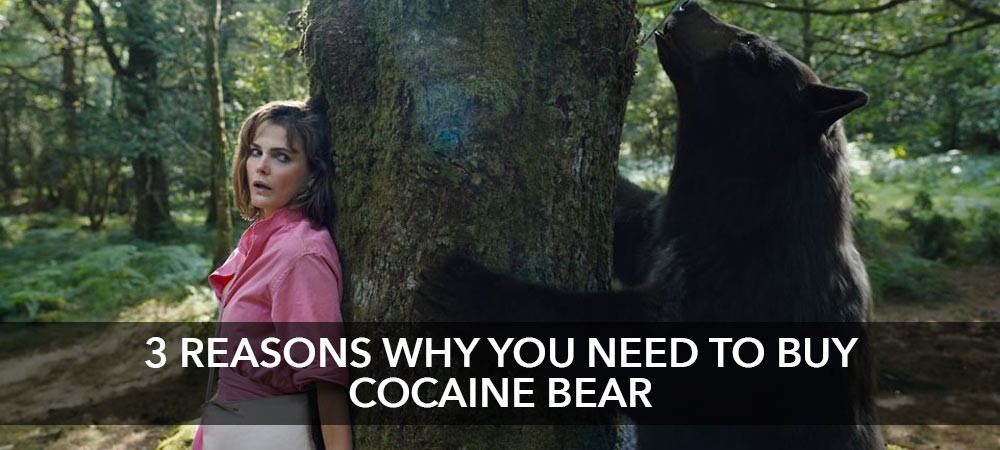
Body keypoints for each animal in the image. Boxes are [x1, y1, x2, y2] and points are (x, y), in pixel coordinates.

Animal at [417, 1, 882, 449]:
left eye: (750, 47)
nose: (688, 5)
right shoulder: (664, 230)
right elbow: (631, 222)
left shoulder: (749, 296)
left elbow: (640, 350)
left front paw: (474, 290)